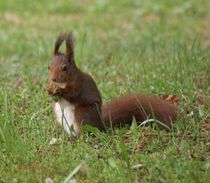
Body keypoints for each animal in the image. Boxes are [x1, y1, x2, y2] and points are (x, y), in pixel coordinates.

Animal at [47, 32, 179, 136]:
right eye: (48, 67)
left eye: (65, 68)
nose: (53, 79)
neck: (63, 82)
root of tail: (101, 125)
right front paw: (48, 90)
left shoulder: (79, 83)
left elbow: (73, 94)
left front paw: (59, 91)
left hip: (83, 114)